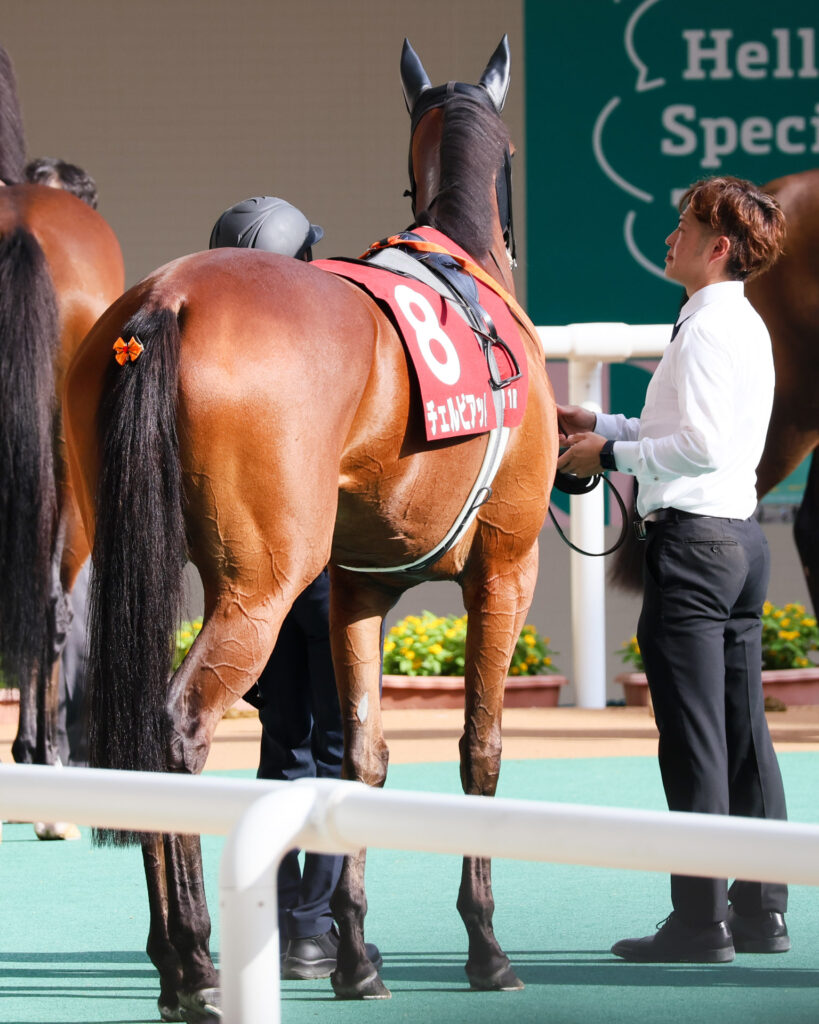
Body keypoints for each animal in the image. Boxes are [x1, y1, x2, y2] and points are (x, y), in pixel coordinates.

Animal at [64, 36, 557, 1016]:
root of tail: (163, 304)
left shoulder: (357, 590)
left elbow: (359, 759)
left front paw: (359, 957)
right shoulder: (504, 569)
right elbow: (478, 750)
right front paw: (486, 947)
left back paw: (177, 961)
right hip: (258, 590)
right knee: (177, 727)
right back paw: (195, 963)